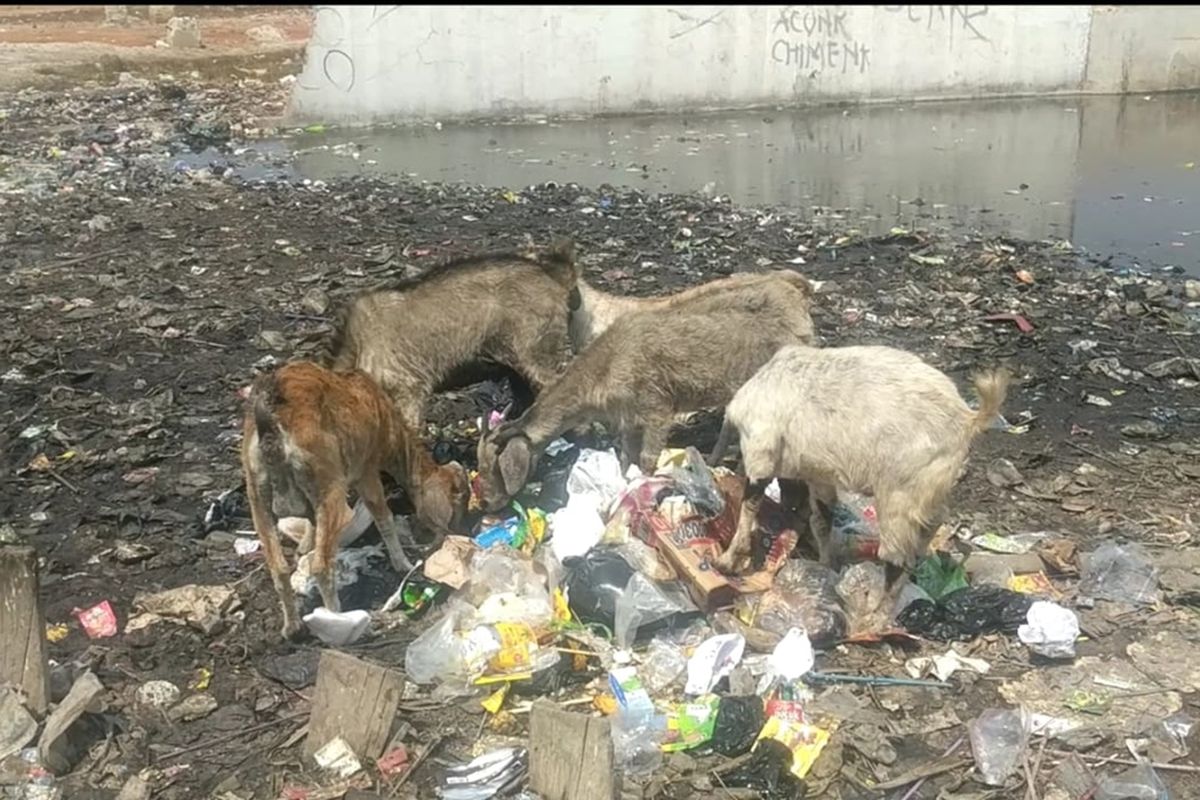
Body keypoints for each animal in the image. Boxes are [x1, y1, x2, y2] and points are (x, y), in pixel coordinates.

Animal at [240, 362, 468, 638]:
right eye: (454, 497)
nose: (454, 532)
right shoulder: (367, 471)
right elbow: (383, 517)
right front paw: (403, 563)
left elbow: (310, 530)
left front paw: (303, 548)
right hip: (329, 488)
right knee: (321, 566)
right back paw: (336, 618)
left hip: (257, 496)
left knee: (279, 567)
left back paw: (292, 627)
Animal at [475, 284, 816, 513]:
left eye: (496, 466)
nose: (487, 504)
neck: (607, 366)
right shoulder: (627, 417)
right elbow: (627, 455)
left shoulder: (656, 406)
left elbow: (648, 459)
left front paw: (644, 494)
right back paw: (714, 462)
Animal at [705, 347, 1008, 618]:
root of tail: (967, 419)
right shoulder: (819, 475)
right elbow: (823, 518)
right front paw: (824, 567)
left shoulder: (760, 450)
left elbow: (750, 505)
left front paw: (727, 561)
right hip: (930, 488)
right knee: (931, 525)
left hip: (900, 490)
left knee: (896, 556)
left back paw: (875, 613)